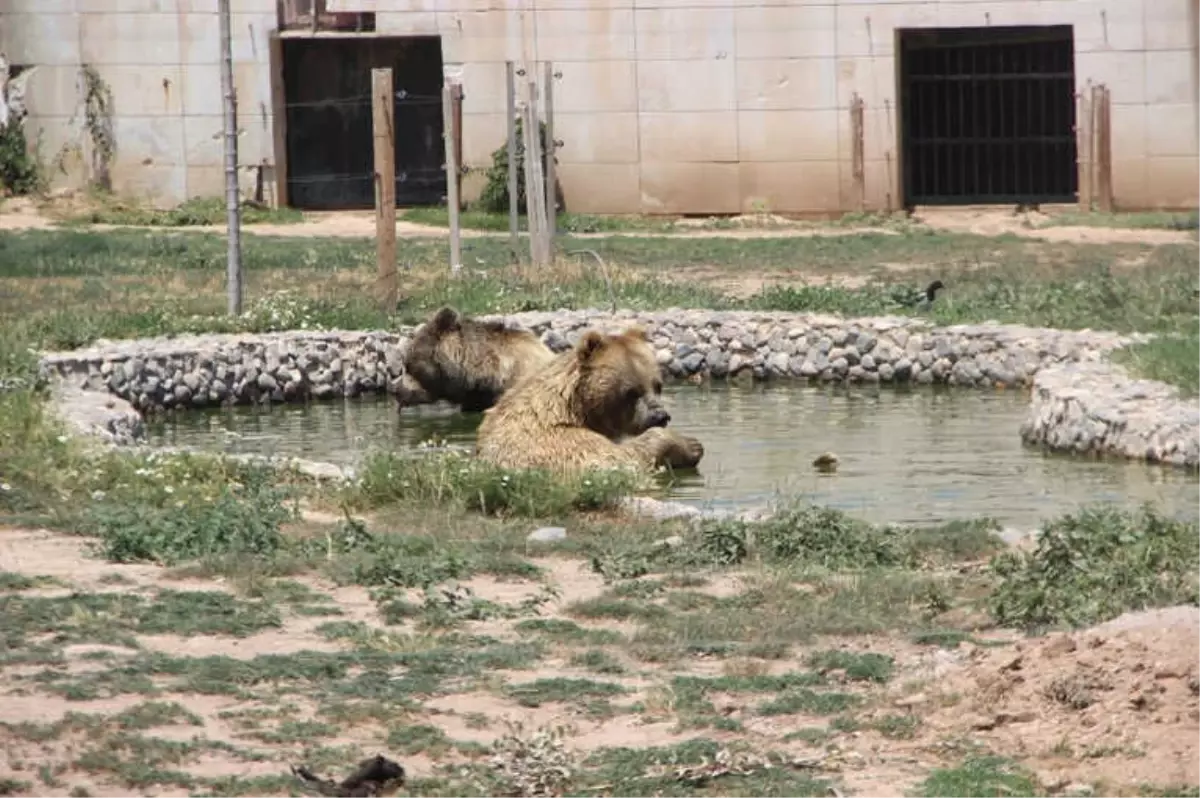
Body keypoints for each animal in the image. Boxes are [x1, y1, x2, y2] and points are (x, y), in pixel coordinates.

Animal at [475, 324, 700, 472]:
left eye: (657, 385)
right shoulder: (561, 444)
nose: (660, 416)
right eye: (631, 391)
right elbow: (618, 461)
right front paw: (689, 445)